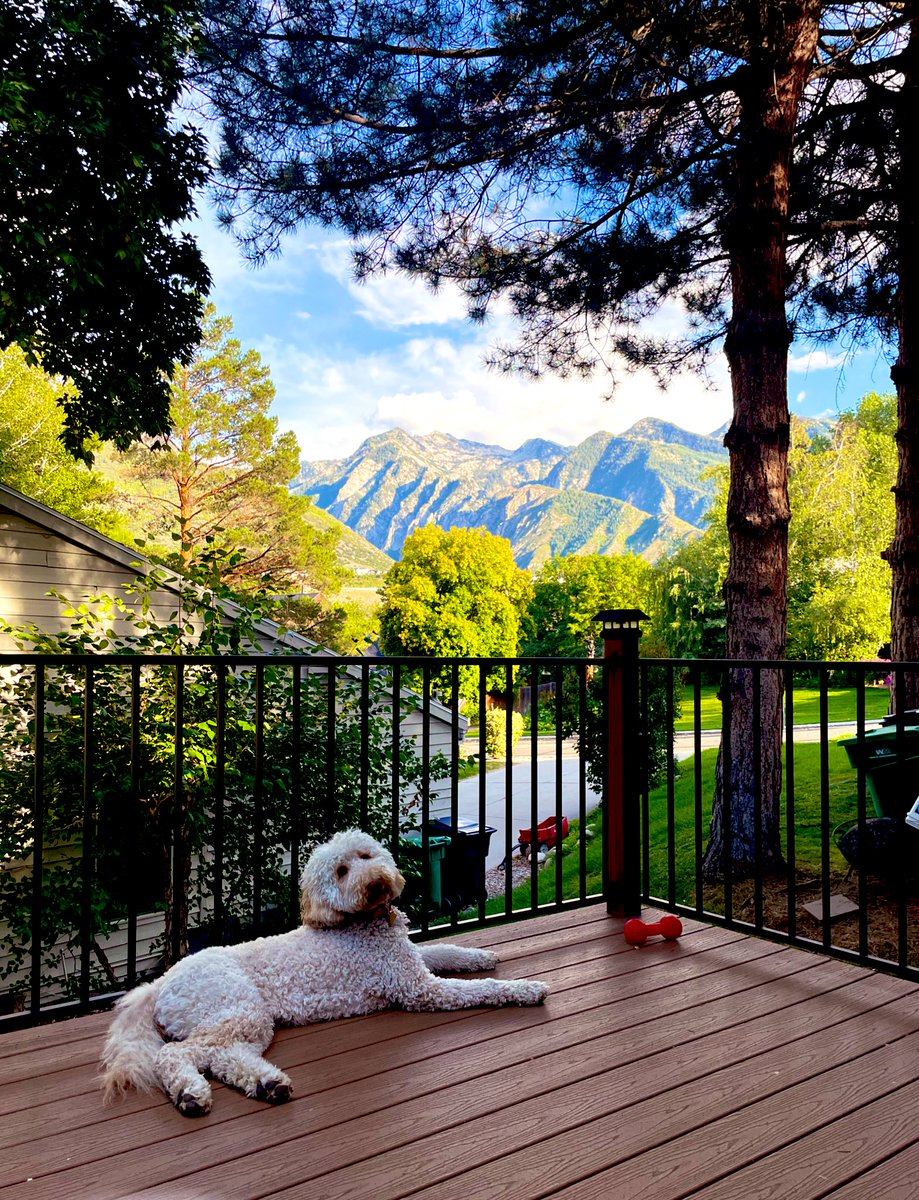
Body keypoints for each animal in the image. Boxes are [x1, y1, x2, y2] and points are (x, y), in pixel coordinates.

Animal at [102, 825, 547, 1113]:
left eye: (366, 856)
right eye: (341, 872)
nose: (376, 883)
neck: (365, 921)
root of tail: (160, 983)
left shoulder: (409, 959)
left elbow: (443, 949)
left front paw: (479, 955)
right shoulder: (418, 989)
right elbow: (480, 988)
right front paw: (524, 988)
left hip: (245, 1021)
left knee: (223, 1058)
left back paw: (267, 1084)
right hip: (235, 1008)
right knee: (176, 1054)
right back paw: (191, 1094)